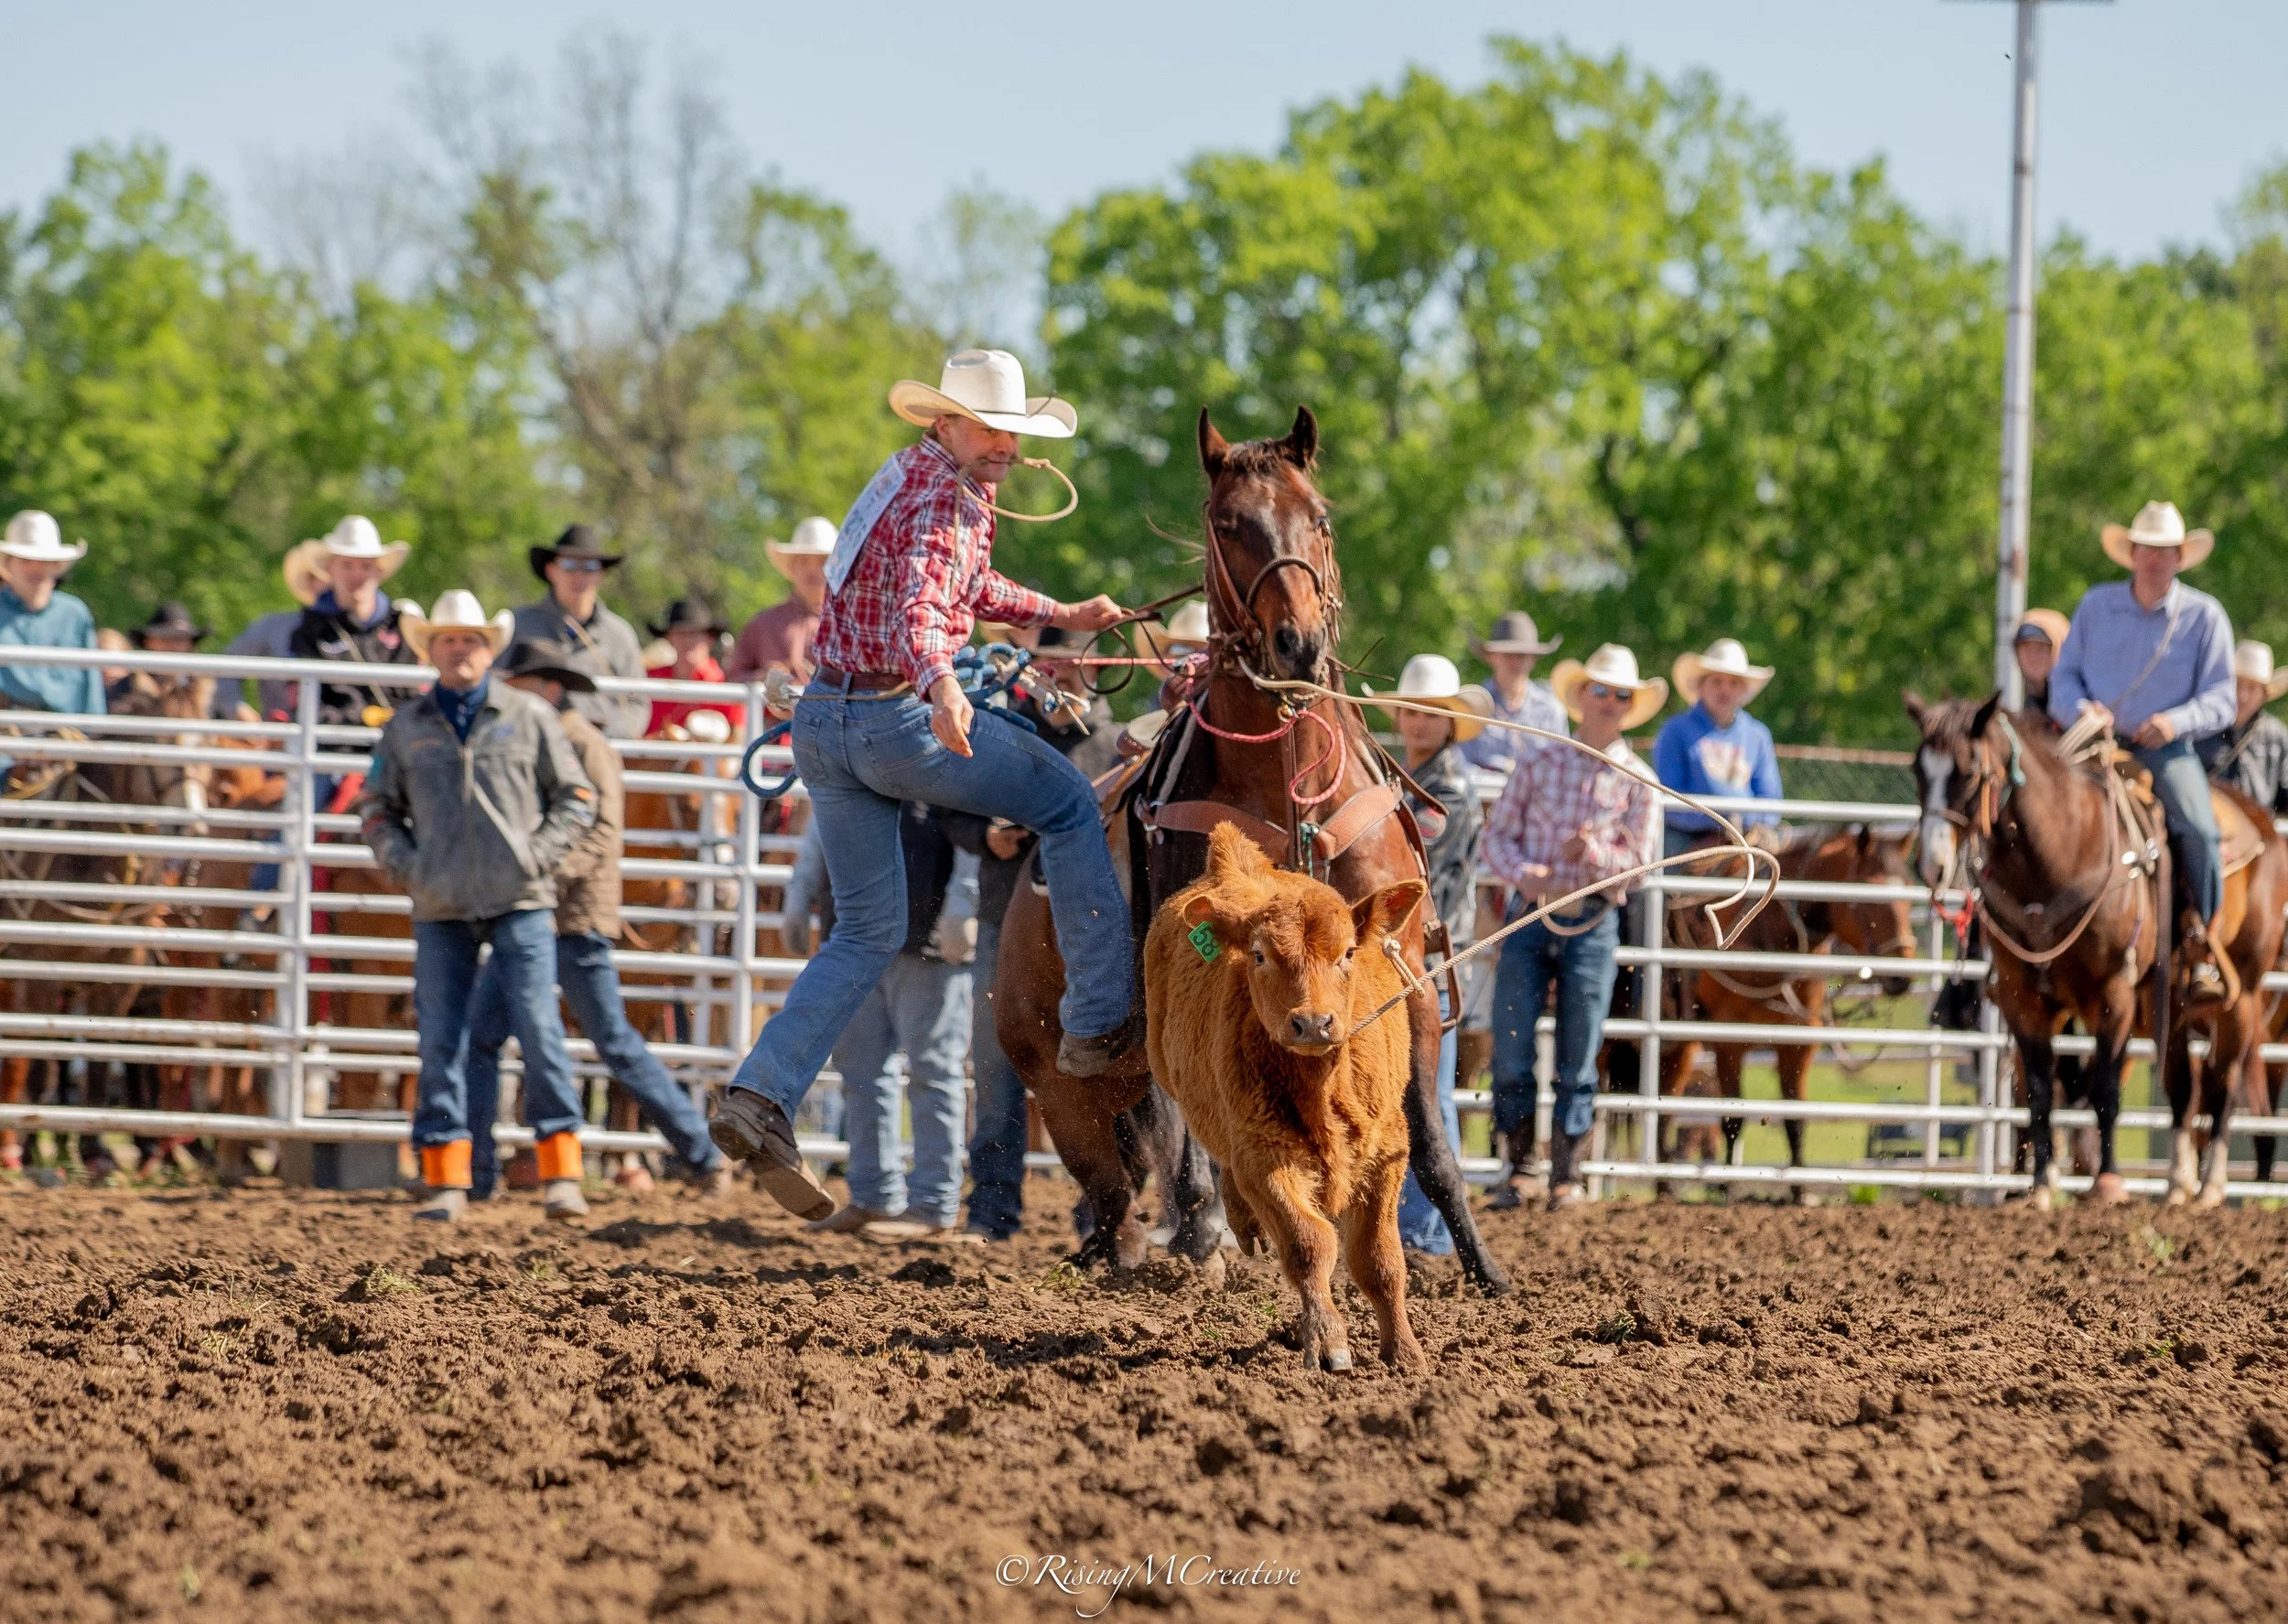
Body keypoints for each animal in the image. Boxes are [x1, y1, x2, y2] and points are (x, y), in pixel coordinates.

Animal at [1144, 823, 1430, 1373]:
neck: (1321, 1087)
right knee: (1225, 1162)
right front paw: (1330, 1342)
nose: (1313, 1023)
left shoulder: (1386, 1154)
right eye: (1259, 955)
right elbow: (1308, 1245)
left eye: (1347, 953)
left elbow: (1380, 1259)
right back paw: (1240, 1216)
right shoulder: (1266, 1157)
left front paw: (1405, 1352)